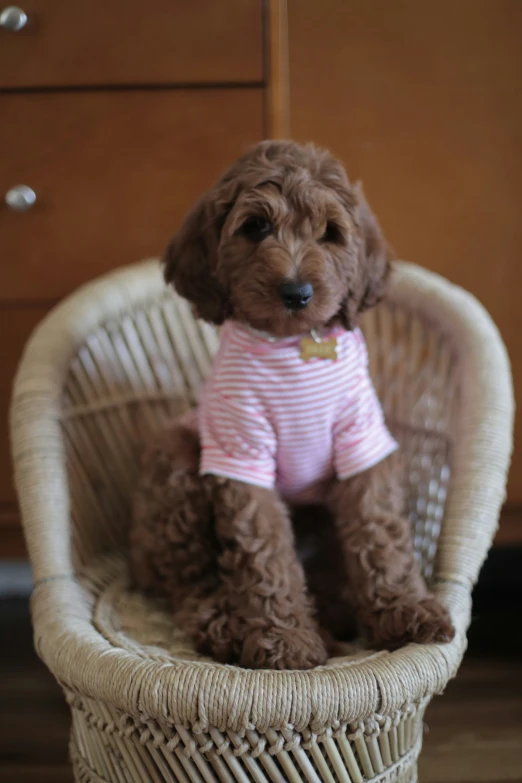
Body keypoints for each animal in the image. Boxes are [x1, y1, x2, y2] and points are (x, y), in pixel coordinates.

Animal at [128, 139, 452, 668]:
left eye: (331, 233)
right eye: (255, 226)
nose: (297, 292)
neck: (293, 346)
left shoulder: (360, 439)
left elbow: (380, 532)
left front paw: (407, 610)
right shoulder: (243, 453)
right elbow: (263, 550)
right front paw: (285, 640)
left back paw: (333, 621)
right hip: (174, 459)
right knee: (189, 584)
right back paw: (224, 624)